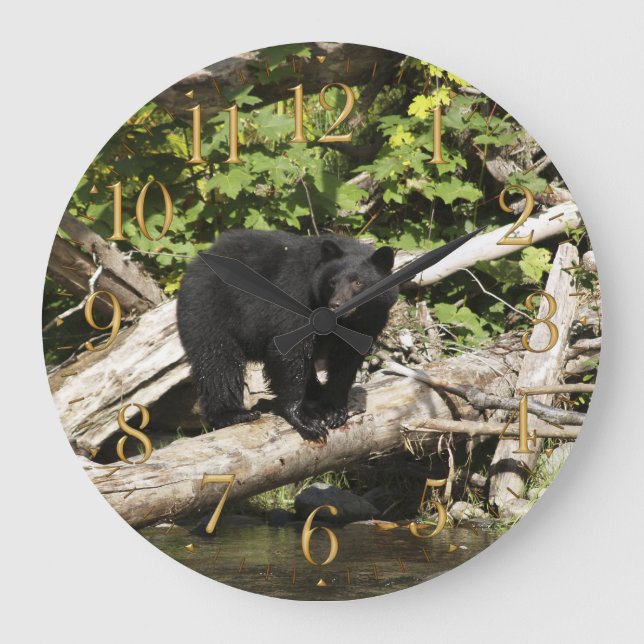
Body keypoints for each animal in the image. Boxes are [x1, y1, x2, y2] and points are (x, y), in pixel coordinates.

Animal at [176, 229, 397, 442]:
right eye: (332, 282)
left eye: (358, 282)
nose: (336, 305)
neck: (344, 321)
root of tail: (196, 264)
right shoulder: (298, 296)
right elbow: (291, 351)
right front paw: (304, 419)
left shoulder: (370, 319)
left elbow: (346, 359)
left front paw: (334, 410)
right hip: (210, 308)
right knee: (218, 361)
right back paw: (232, 413)